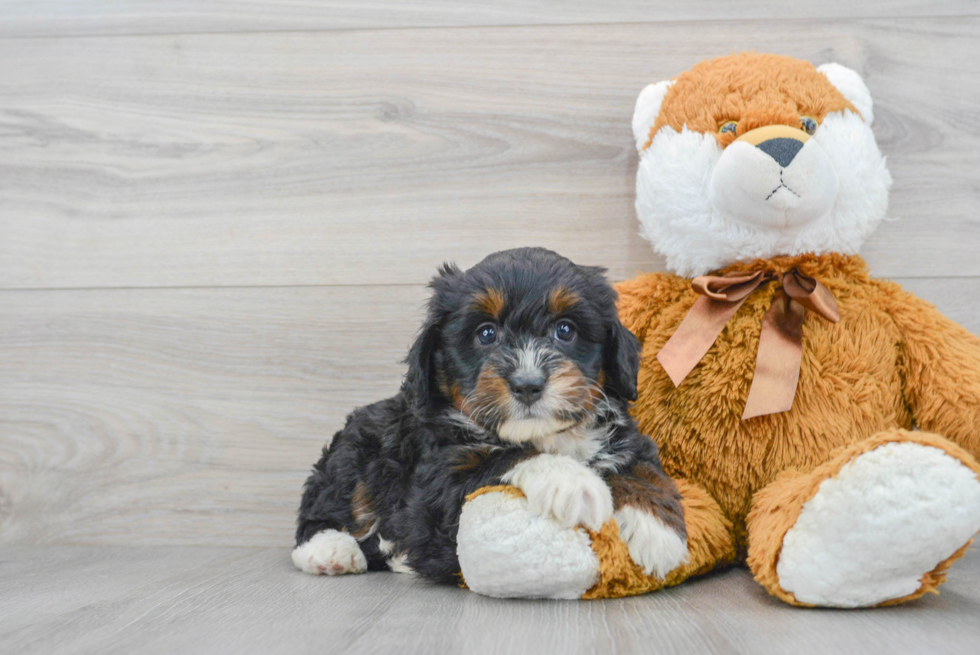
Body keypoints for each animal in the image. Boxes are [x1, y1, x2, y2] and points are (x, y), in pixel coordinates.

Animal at [294, 247, 684, 584]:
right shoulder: (436, 481)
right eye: (486, 333)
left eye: (565, 330)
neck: (544, 433)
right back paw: (330, 550)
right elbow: (503, 455)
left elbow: (642, 468)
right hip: (356, 448)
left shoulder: (626, 437)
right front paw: (573, 481)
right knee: (325, 504)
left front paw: (656, 529)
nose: (528, 384)